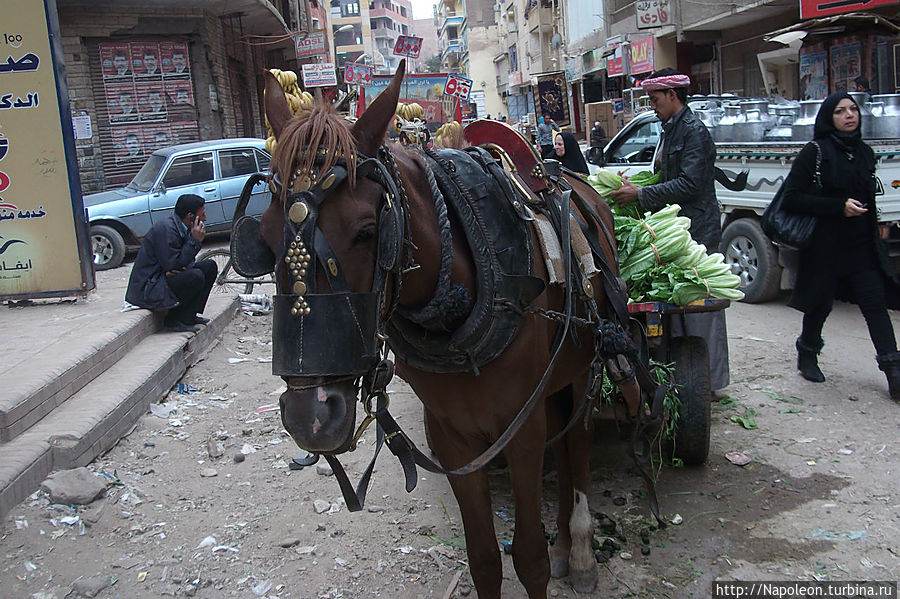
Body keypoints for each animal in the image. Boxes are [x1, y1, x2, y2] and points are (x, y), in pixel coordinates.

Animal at [253, 58, 660, 596]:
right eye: (265, 236)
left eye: (367, 231)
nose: (310, 417)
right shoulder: (451, 437)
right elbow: (484, 558)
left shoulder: (521, 430)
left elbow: (528, 557)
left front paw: (553, 552)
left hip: (583, 370)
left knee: (577, 443)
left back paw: (579, 547)